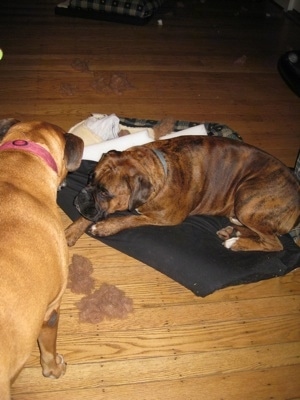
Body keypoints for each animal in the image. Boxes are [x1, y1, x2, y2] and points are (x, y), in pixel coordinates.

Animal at [64, 136, 298, 252]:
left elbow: (132, 218)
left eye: (105, 193)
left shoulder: (166, 217)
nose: (80, 197)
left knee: (275, 244)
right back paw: (233, 231)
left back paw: (236, 243)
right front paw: (72, 230)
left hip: (247, 199)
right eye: (89, 178)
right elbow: (88, 216)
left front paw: (106, 226)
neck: (158, 166)